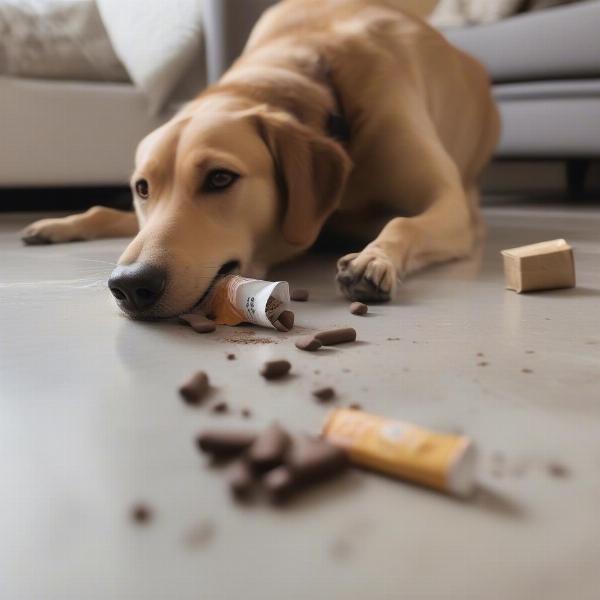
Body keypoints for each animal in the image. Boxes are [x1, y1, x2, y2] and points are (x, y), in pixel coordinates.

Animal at [21, 0, 500, 318]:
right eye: (142, 188)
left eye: (220, 178)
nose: (129, 284)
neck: (309, 65)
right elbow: (116, 213)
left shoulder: (449, 206)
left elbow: (404, 222)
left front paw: (374, 259)